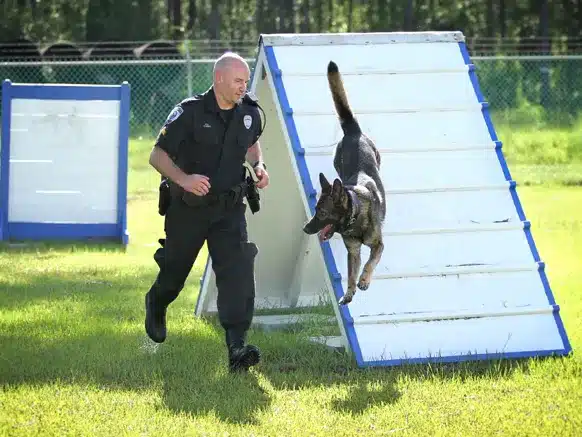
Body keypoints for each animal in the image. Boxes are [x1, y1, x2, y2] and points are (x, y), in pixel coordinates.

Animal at [304, 61, 386, 304]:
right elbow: (351, 273)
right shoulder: (353, 252)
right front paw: (349, 293)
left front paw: (364, 281)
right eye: (315, 210)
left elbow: (370, 263)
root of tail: (353, 131)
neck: (355, 214)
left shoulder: (378, 245)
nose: (305, 229)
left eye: (322, 213)